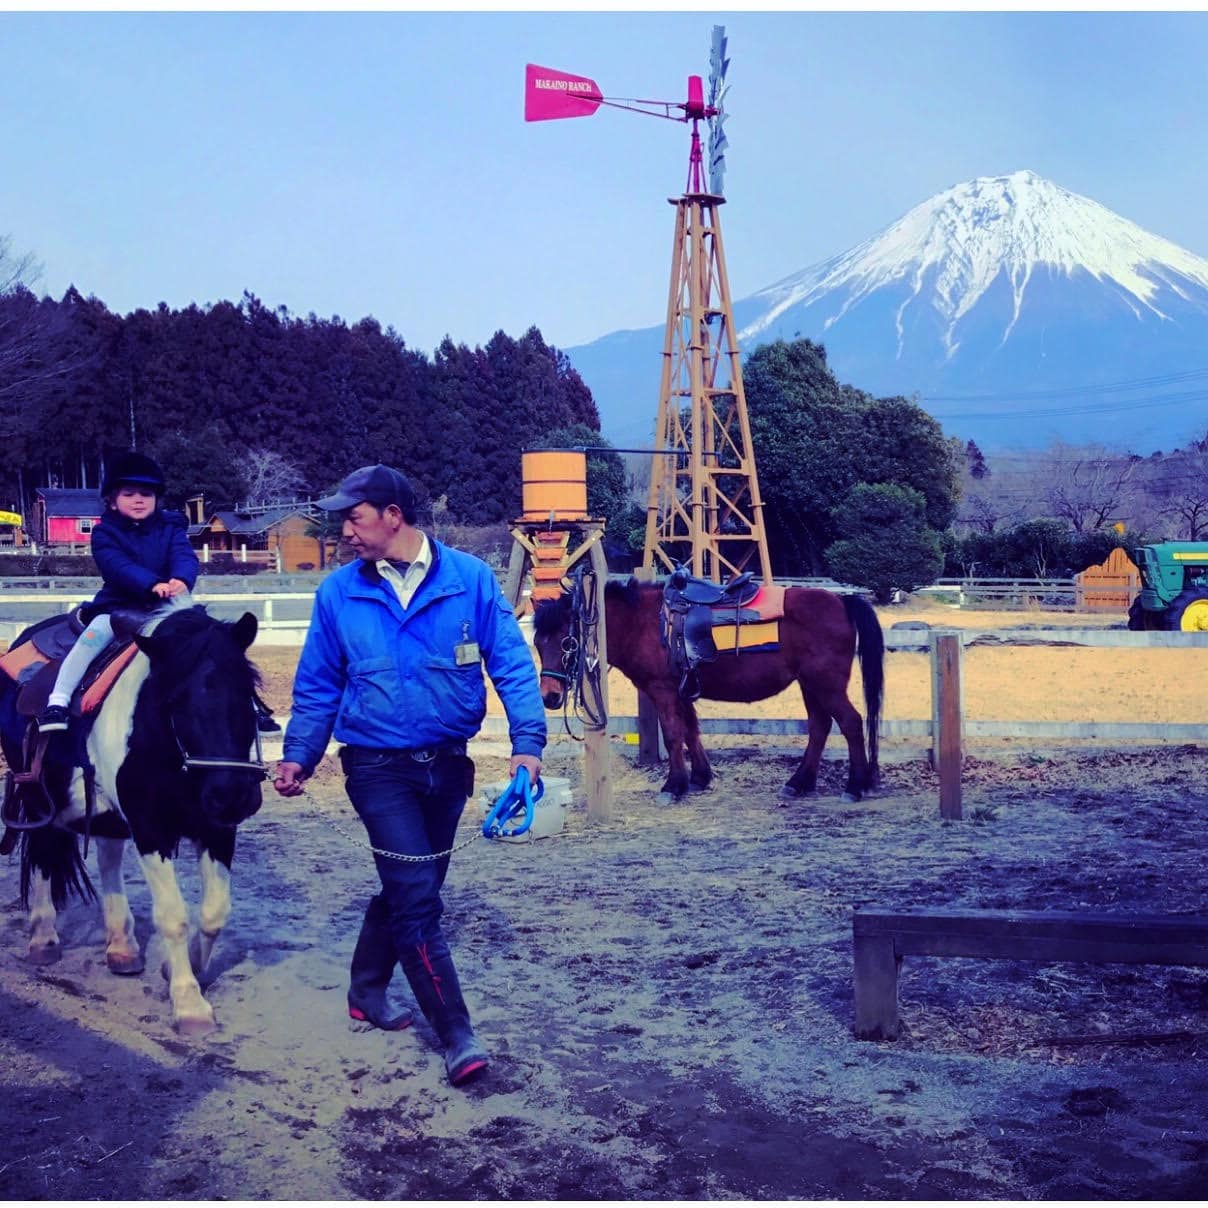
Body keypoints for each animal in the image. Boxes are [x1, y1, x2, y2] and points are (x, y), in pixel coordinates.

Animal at [0, 599, 265, 1034]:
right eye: (175, 700)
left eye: (246, 693)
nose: (232, 794)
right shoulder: (150, 827)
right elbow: (173, 916)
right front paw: (189, 1003)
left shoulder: (217, 828)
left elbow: (214, 913)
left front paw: (182, 969)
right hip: (39, 798)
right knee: (43, 854)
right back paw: (43, 939)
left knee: (107, 859)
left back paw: (122, 946)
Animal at [533, 577, 884, 802]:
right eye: (537, 642)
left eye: (567, 642)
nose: (549, 696)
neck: (643, 623)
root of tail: (841, 600)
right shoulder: (681, 691)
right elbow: (691, 731)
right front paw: (700, 778)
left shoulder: (663, 690)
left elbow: (673, 734)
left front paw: (674, 785)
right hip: (810, 685)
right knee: (819, 727)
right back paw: (799, 783)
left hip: (826, 685)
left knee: (851, 723)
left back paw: (855, 786)